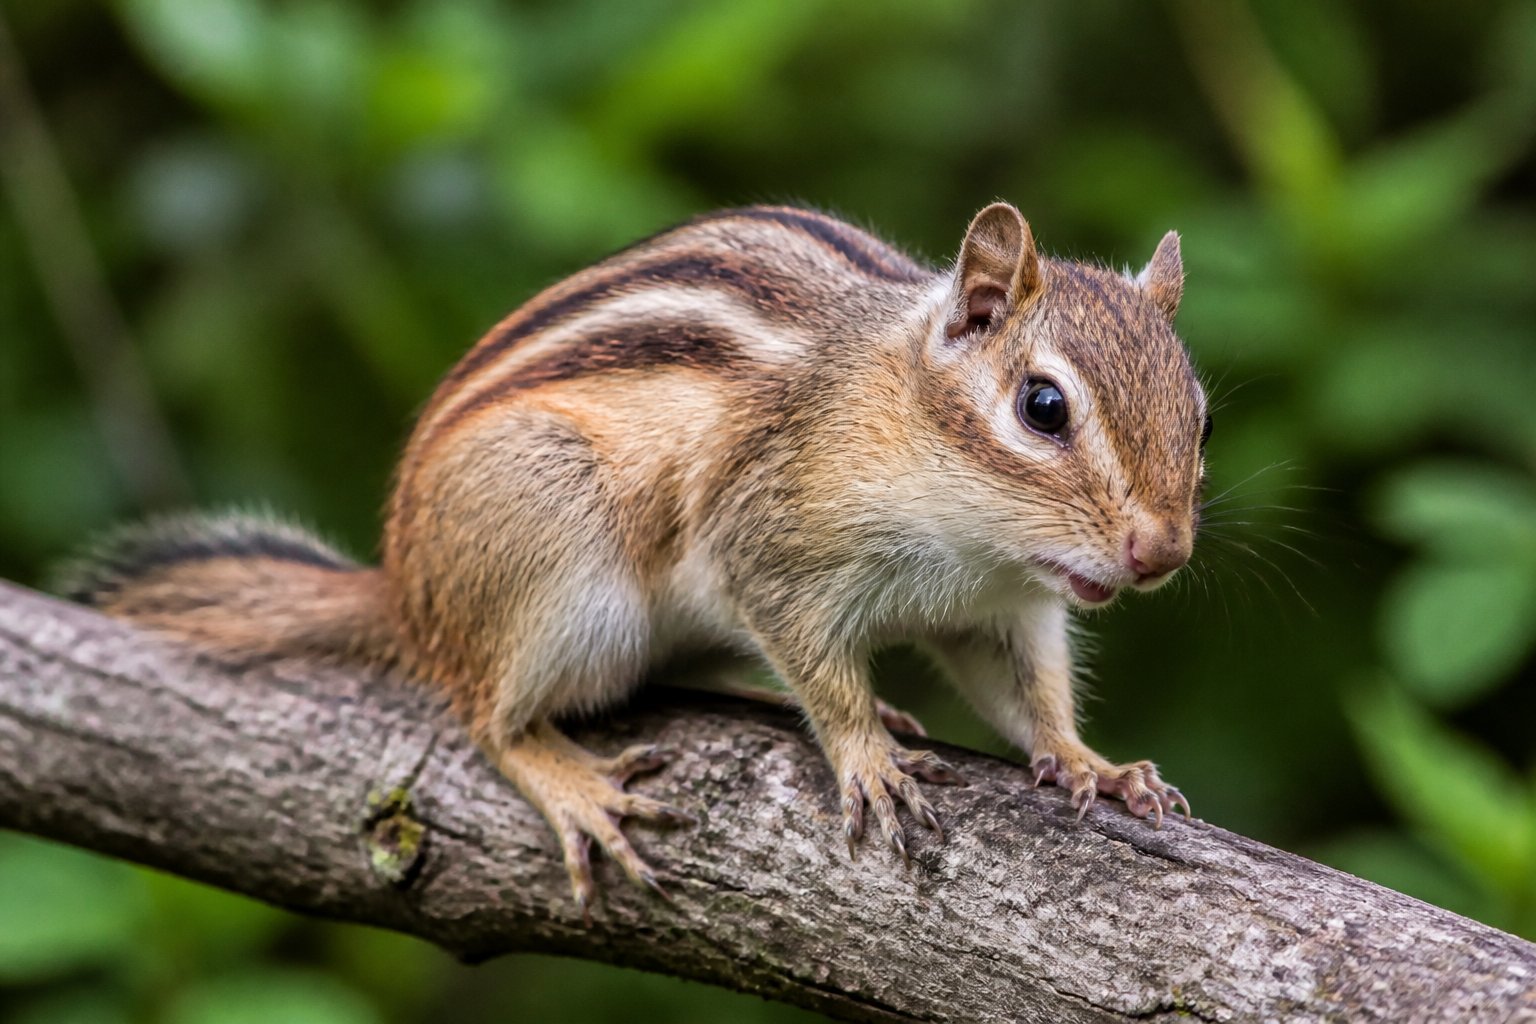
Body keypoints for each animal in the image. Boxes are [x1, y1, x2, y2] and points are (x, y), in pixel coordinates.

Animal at [60, 202, 1209, 912]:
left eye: (1198, 413)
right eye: (1043, 406)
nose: (1161, 552)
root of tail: (407, 592)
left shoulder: (1002, 608)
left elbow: (1029, 694)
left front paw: (1095, 765)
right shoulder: (769, 544)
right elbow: (817, 662)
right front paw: (866, 757)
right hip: (557, 555)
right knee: (487, 716)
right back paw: (577, 786)